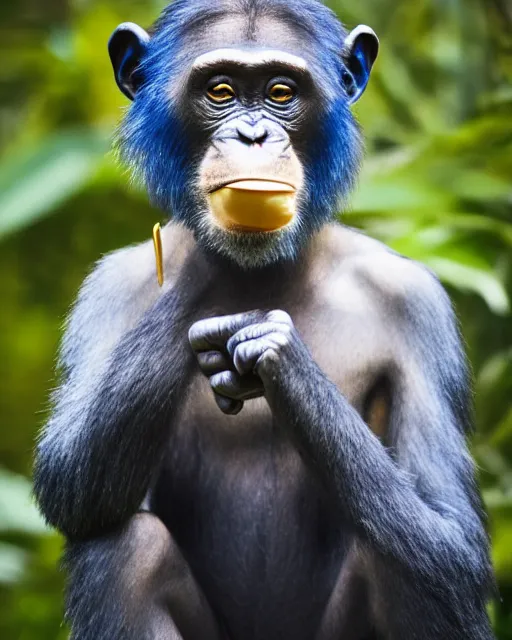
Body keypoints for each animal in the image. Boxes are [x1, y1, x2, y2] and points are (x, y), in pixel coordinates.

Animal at [33, 1, 496, 640]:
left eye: (281, 92)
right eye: (221, 91)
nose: (252, 134)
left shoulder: (417, 304)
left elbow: (453, 536)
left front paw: (279, 355)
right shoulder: (105, 289)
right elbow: (67, 475)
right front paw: (212, 261)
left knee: (407, 557)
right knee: (122, 545)